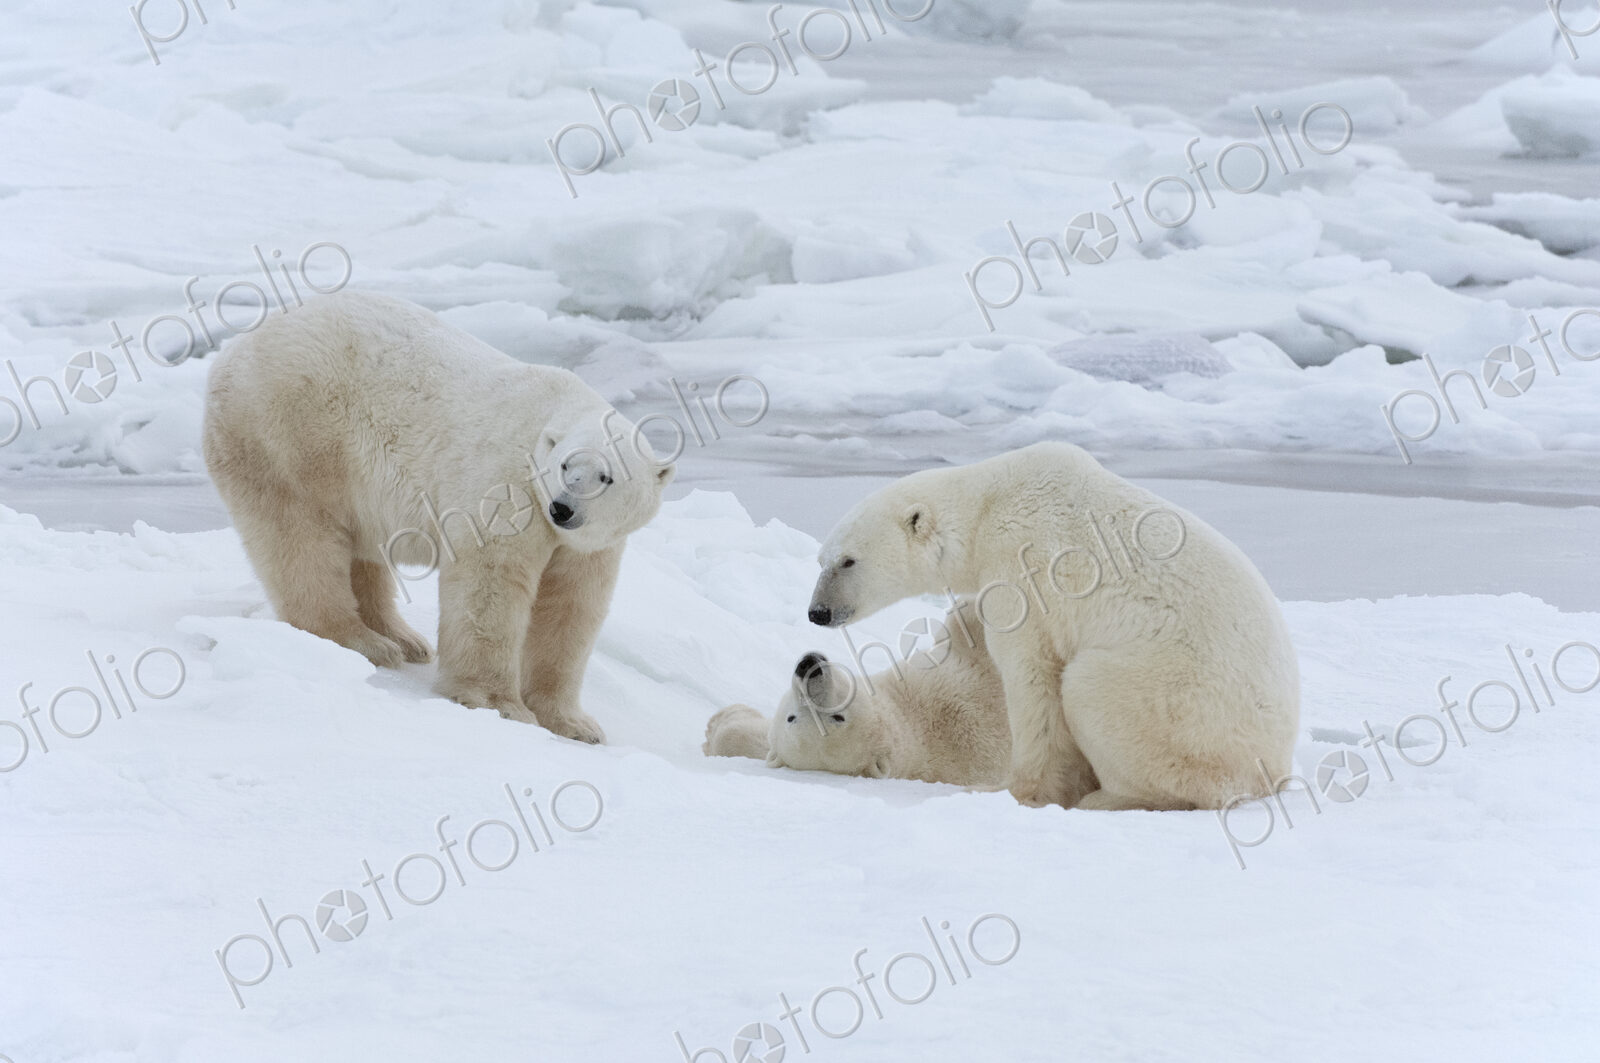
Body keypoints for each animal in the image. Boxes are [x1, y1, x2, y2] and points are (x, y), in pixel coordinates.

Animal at [202, 290, 673, 744]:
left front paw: (575, 724)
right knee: (301, 543)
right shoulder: (505, 487)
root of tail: (232, 353)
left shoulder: (592, 544)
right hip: (291, 434)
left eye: (605, 476)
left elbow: (571, 607)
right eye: (565, 466)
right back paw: (363, 641)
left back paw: (404, 639)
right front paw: (498, 704)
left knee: (359, 551)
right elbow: (491, 587)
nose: (563, 507)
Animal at [805, 441, 1299, 811]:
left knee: (1091, 690)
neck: (990, 504)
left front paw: (1013, 789)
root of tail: (1271, 771)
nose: (818, 612)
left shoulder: (1024, 570)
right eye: (822, 559)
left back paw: (1108, 798)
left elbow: (1032, 680)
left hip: (1179, 707)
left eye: (848, 561)